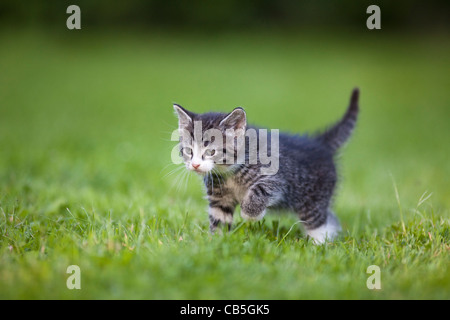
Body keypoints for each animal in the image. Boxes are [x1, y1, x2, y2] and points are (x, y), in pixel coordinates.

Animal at [172, 87, 358, 242]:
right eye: (188, 151)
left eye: (211, 151)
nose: (195, 165)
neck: (228, 172)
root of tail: (319, 144)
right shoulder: (219, 198)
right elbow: (219, 218)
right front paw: (216, 242)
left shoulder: (277, 179)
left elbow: (260, 190)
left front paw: (249, 214)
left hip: (312, 199)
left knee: (318, 222)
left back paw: (319, 245)